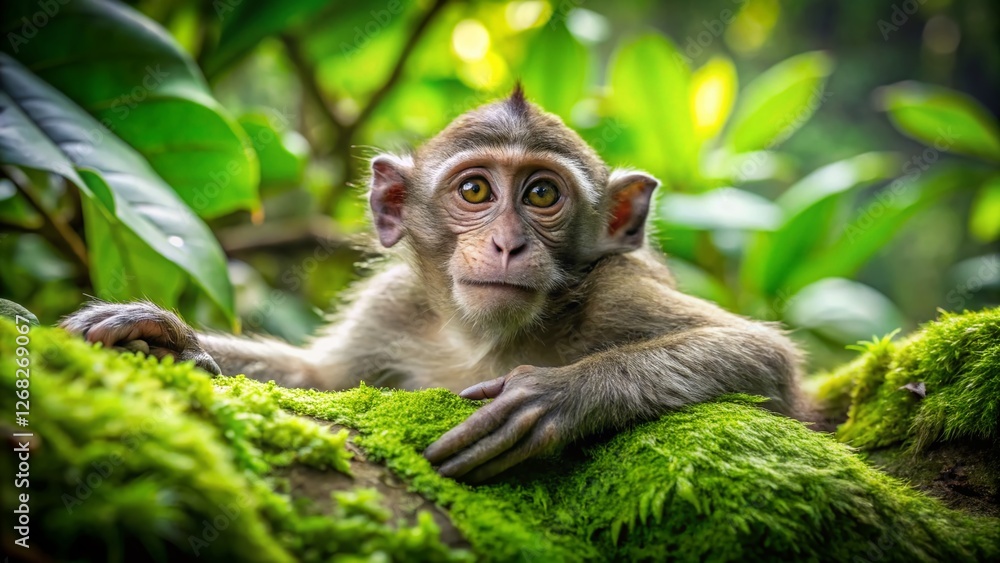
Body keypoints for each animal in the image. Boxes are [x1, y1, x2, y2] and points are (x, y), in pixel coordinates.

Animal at [60, 86, 802, 483]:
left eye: (542, 194)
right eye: (475, 191)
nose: (507, 242)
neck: (484, 340)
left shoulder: (616, 291)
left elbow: (761, 357)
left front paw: (549, 396)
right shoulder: (392, 307)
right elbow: (323, 379)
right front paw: (165, 333)